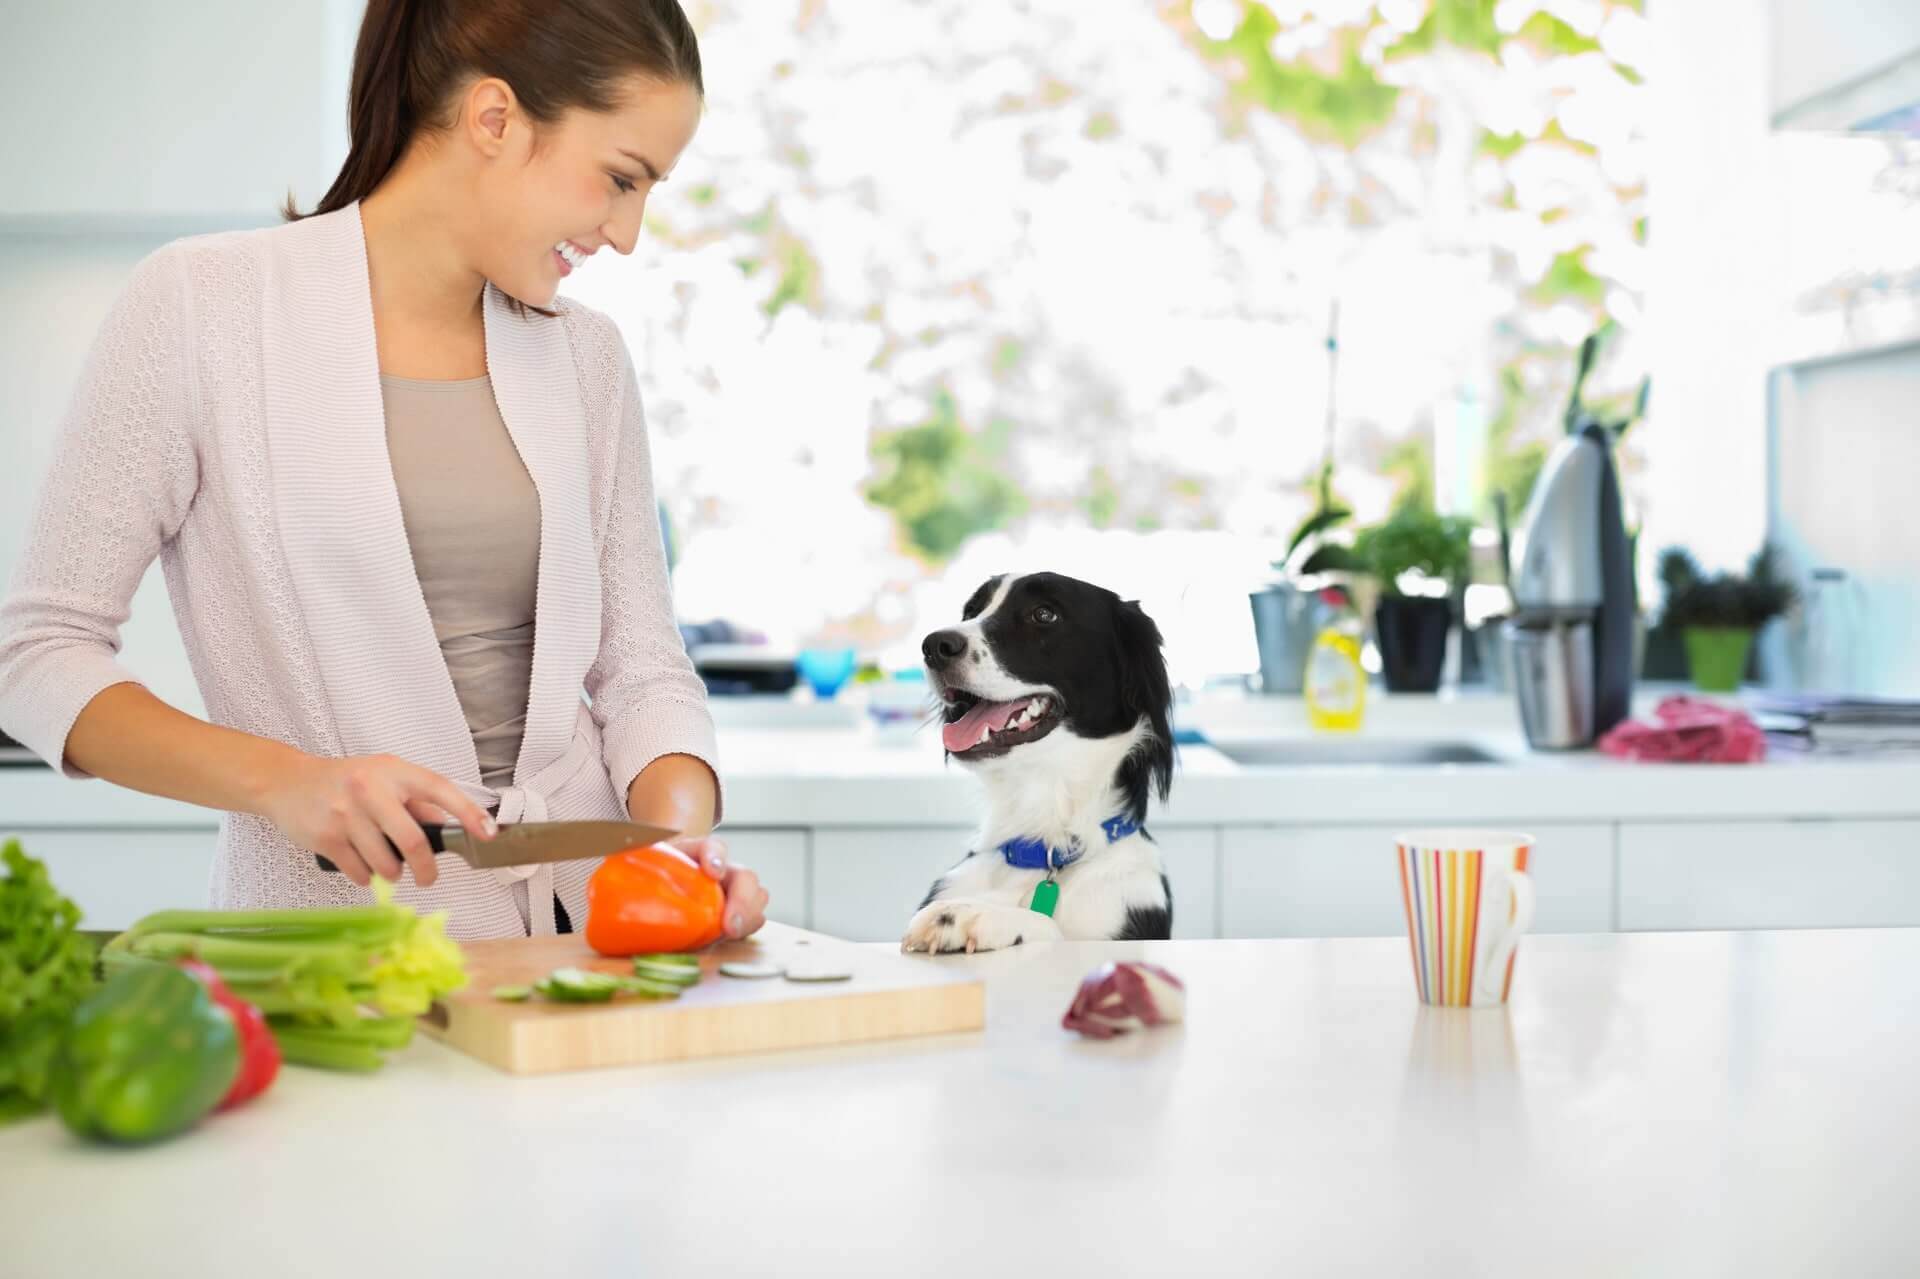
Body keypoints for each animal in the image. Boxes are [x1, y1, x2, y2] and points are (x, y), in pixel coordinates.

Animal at [894, 568, 1167, 944]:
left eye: (1044, 614)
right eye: (971, 611)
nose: (935, 646)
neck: (1043, 843)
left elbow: (1051, 929)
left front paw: (970, 914)